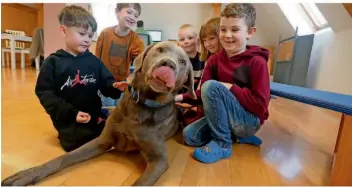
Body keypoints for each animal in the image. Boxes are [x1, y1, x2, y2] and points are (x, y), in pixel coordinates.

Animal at [1, 41, 197, 186]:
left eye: (183, 62)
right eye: (160, 49)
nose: (168, 65)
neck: (141, 106)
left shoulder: (159, 160)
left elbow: (140, 183)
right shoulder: (102, 140)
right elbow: (64, 158)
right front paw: (27, 174)